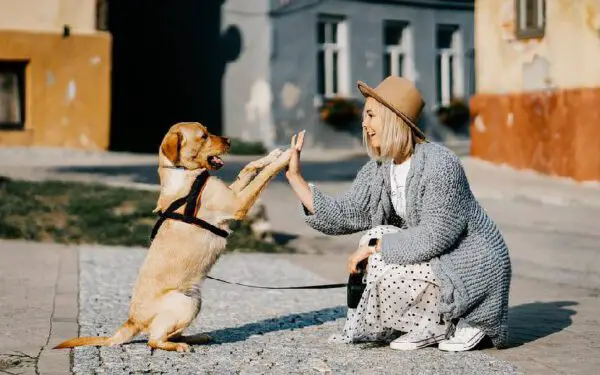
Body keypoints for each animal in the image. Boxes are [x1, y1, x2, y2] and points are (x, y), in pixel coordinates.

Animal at [55, 121, 294, 352]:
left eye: (208, 131)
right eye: (203, 136)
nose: (229, 140)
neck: (184, 174)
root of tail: (132, 321)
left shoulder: (232, 193)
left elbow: (248, 168)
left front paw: (271, 155)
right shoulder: (237, 203)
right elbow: (264, 176)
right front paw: (287, 157)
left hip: (195, 300)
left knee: (168, 334)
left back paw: (196, 337)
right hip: (185, 302)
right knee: (153, 340)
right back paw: (178, 345)